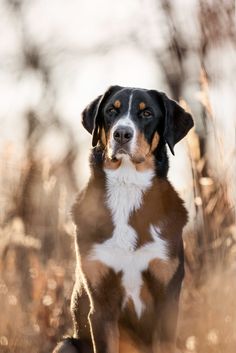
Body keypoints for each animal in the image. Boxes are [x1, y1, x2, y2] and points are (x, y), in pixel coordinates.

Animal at [53, 85, 194, 352]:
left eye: (147, 113)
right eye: (111, 111)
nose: (122, 134)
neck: (127, 187)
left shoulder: (166, 301)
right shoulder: (102, 305)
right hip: (66, 344)